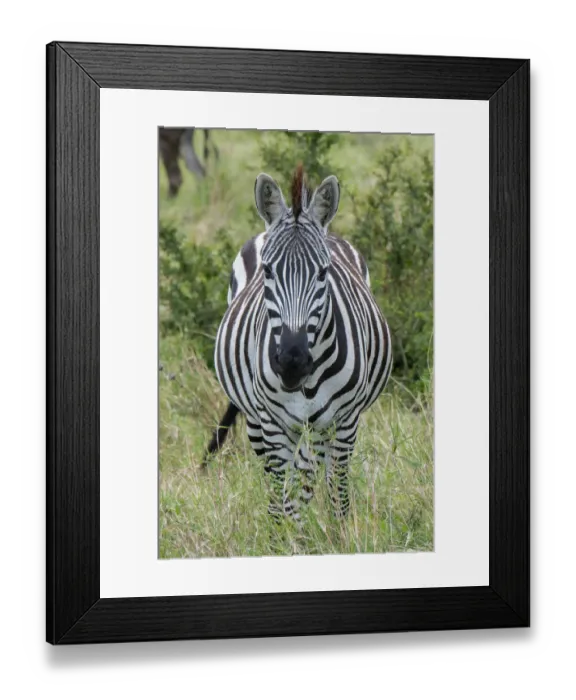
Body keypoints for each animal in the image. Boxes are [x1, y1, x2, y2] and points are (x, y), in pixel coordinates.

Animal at [206, 165, 392, 522]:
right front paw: (287, 533)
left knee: (317, 473)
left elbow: (333, 490)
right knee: (279, 481)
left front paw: (335, 532)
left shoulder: (344, 420)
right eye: (267, 271)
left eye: (323, 273)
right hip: (256, 420)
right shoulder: (272, 422)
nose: (292, 363)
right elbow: (283, 494)